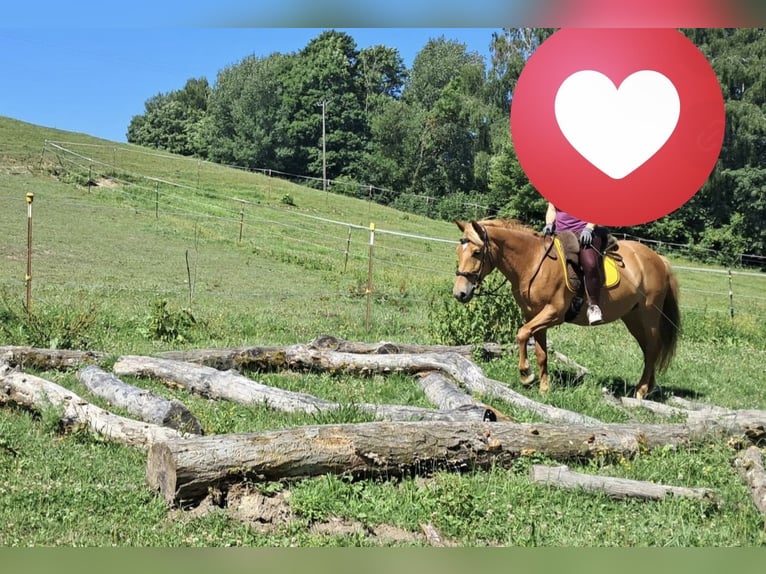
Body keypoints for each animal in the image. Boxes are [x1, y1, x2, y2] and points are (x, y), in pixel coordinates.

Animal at [453, 218, 680, 399]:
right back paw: (648, 387)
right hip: (633, 318)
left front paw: (526, 375)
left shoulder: (554, 313)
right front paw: (544, 388)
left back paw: (641, 391)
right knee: (649, 350)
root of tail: (659, 259)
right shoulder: (535, 315)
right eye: (458, 251)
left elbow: (521, 333)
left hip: (649, 315)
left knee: (653, 348)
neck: (533, 262)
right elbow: (541, 352)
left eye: (477, 252)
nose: (459, 293)